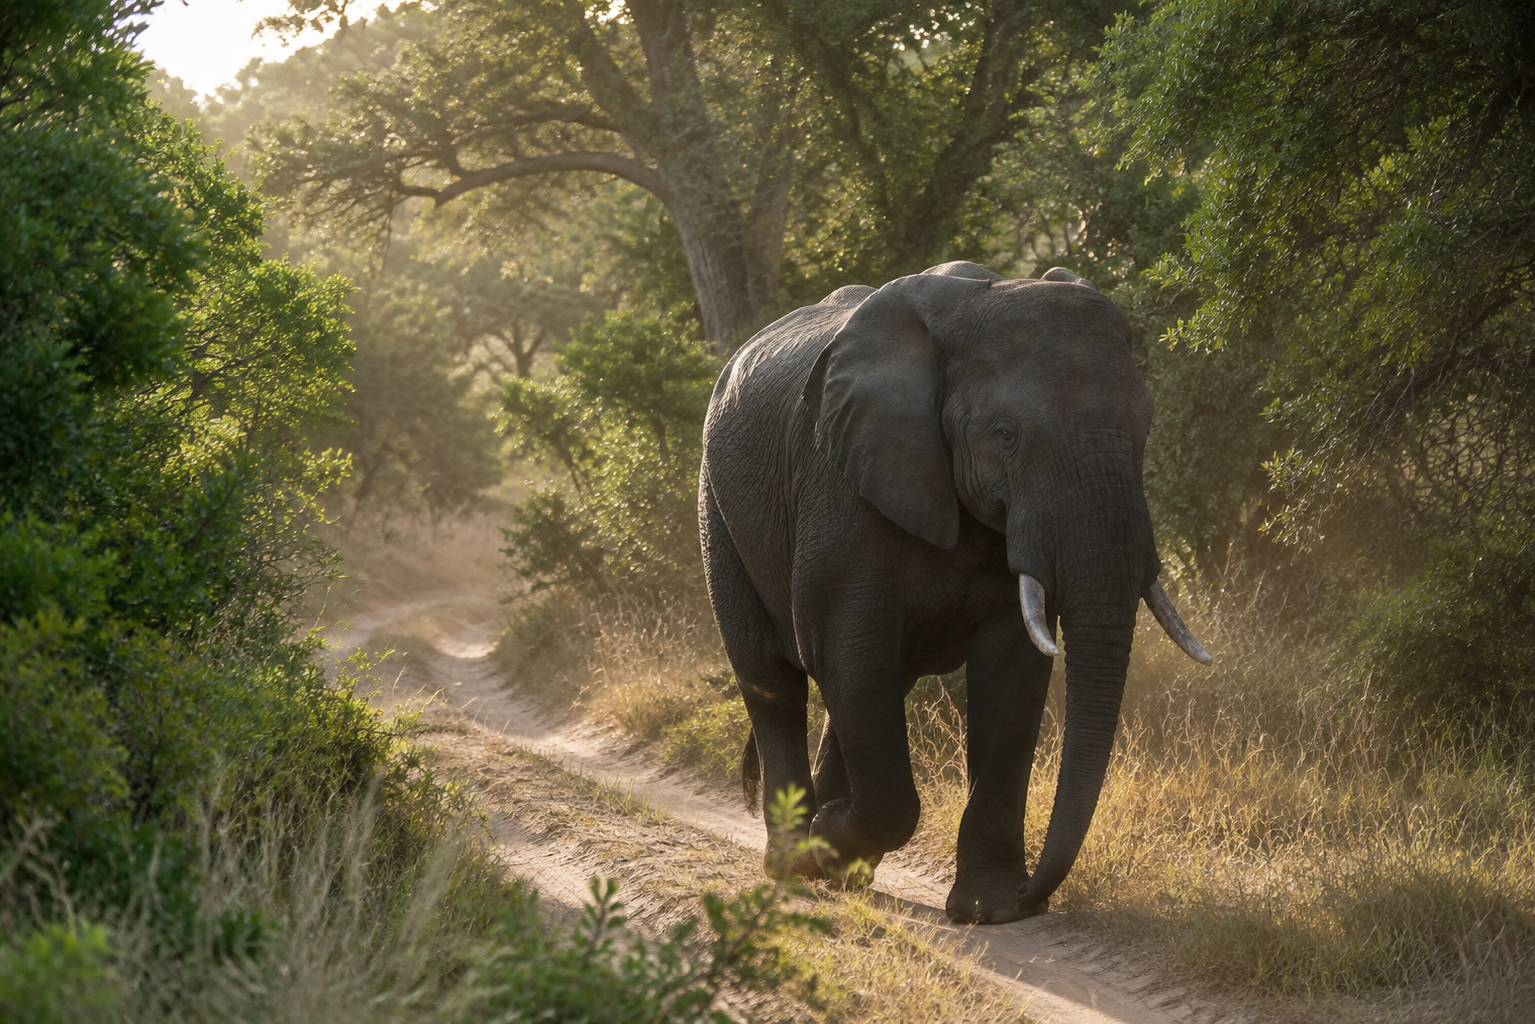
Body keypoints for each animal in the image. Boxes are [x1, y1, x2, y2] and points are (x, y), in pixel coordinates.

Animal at [698, 261, 1210, 925]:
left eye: (1144, 424)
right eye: (1006, 434)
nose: (1035, 895)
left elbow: (1011, 673)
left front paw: (992, 910)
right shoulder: (840, 490)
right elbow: (847, 651)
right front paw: (825, 840)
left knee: (870, 686)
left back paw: (840, 867)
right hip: (716, 508)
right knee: (774, 680)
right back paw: (795, 863)